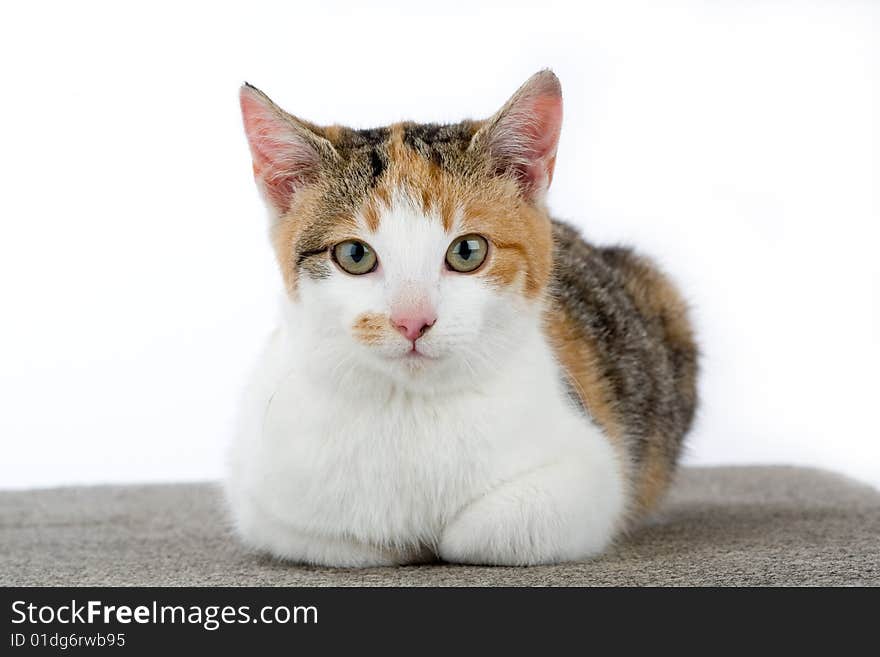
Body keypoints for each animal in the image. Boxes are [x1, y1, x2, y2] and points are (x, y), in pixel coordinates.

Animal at [223, 69, 696, 568]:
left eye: (467, 251)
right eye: (354, 254)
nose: (413, 320)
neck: (409, 409)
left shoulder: (593, 476)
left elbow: (484, 531)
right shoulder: (262, 500)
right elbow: (353, 540)